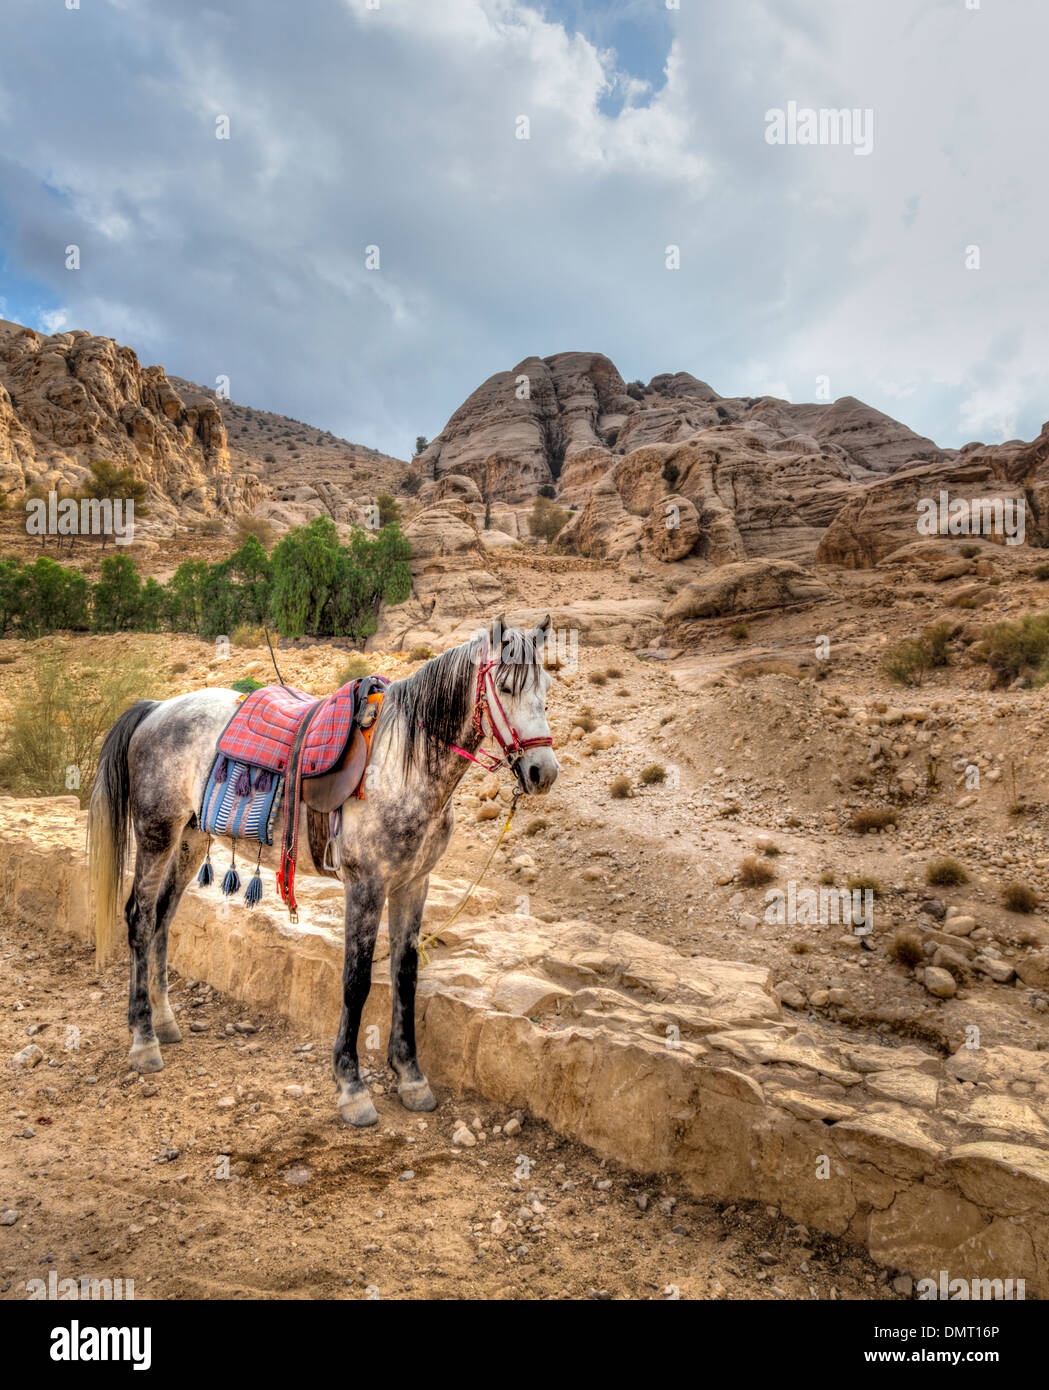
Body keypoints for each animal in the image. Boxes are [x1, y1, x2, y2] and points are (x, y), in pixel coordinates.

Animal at [87, 615, 559, 1126]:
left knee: (162, 918)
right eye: (507, 687)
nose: (543, 772)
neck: (403, 765)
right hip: (156, 832)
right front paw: (351, 1086)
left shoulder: (414, 883)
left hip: (190, 838)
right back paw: (143, 1039)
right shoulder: (366, 885)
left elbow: (405, 974)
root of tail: (157, 708)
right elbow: (356, 980)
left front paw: (411, 1076)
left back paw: (165, 1021)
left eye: (546, 688)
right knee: (139, 918)